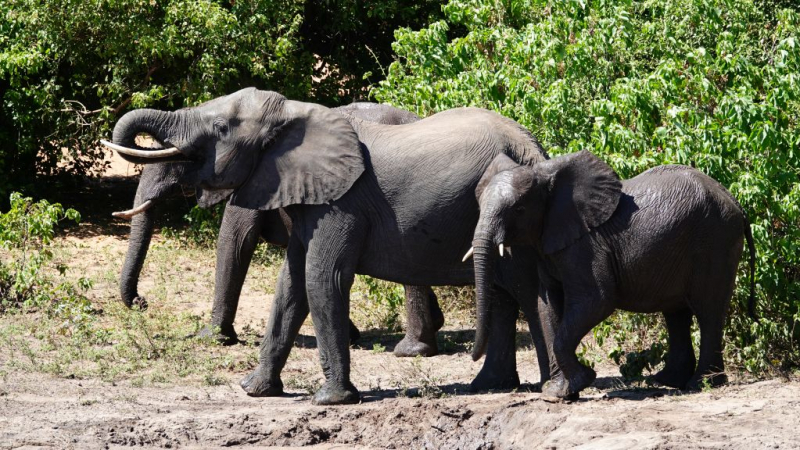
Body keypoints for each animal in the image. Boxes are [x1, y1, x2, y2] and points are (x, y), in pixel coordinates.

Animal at [112, 101, 444, 356]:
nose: (142, 302)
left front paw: (213, 338)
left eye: (178, 158)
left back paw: (412, 350)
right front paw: (351, 335)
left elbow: (235, 241)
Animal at [468, 150, 756, 398]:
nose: (473, 355)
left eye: (518, 209)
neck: (545, 176)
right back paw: (668, 381)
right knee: (677, 313)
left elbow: (596, 300)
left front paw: (582, 381)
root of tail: (737, 204)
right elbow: (547, 306)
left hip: (715, 239)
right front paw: (559, 394)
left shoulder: (585, 246)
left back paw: (701, 383)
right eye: (479, 205)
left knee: (708, 311)